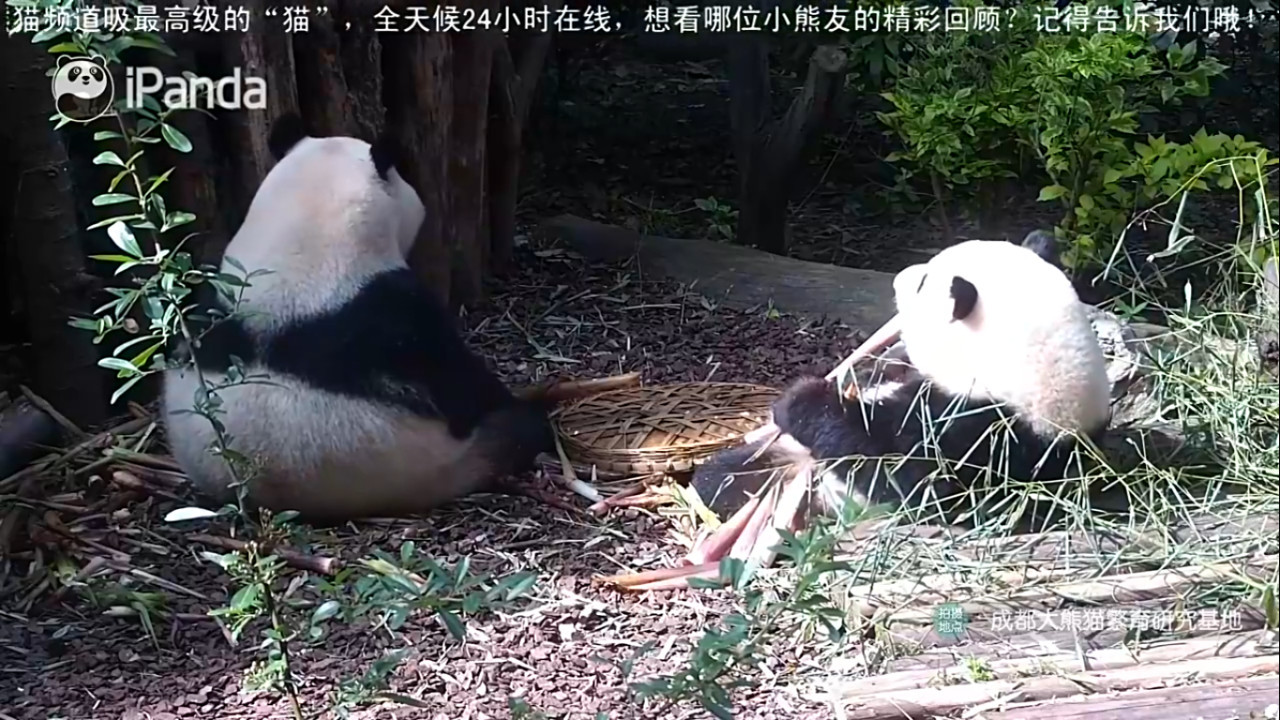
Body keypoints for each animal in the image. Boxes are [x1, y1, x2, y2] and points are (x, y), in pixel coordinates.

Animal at [162, 113, 552, 515]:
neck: (304, 231)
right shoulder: (403, 321)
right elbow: (463, 387)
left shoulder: (203, 298)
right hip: (442, 459)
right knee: (514, 432)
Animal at [696, 235, 1116, 527]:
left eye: (923, 282)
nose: (899, 278)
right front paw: (869, 370)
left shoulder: (981, 437)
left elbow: (897, 473)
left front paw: (800, 398)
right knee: (726, 475)